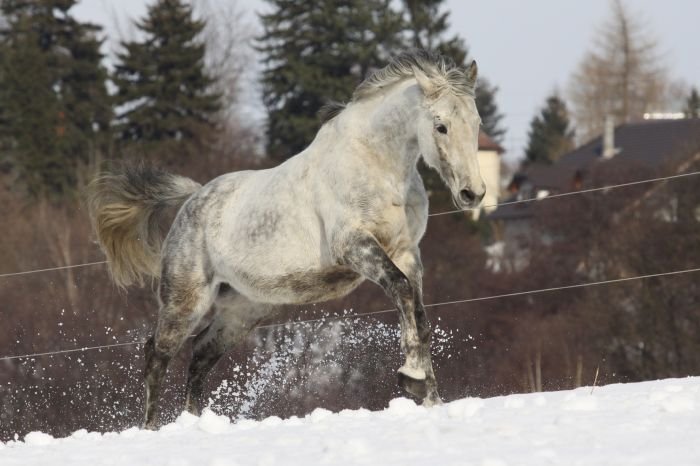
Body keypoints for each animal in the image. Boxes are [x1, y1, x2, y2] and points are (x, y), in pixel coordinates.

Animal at [89, 49, 486, 428]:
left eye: (477, 122)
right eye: (441, 126)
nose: (473, 194)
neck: (377, 168)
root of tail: (192, 199)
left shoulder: (406, 253)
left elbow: (419, 316)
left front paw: (430, 398)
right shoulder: (355, 248)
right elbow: (402, 292)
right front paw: (411, 377)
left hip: (245, 308)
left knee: (200, 355)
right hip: (186, 301)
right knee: (157, 354)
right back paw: (151, 428)